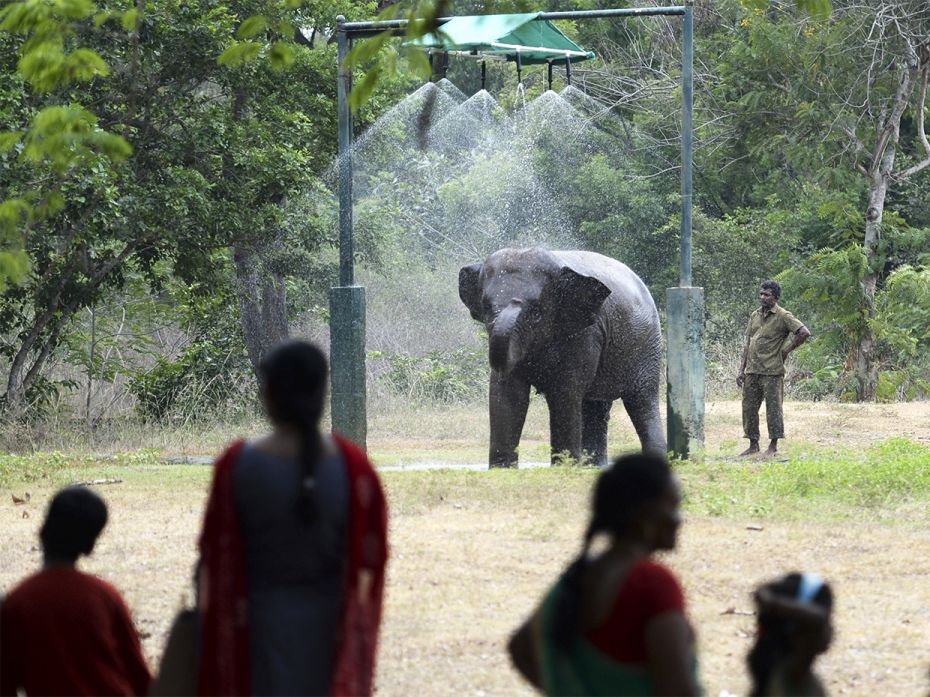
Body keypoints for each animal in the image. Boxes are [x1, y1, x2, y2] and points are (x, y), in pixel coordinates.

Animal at [454, 246, 660, 468]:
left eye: (537, 314)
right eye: (486, 309)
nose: (516, 301)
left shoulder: (585, 333)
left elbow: (564, 392)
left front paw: (565, 466)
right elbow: (508, 393)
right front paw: (502, 469)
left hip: (647, 346)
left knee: (642, 401)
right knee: (596, 406)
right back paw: (593, 467)